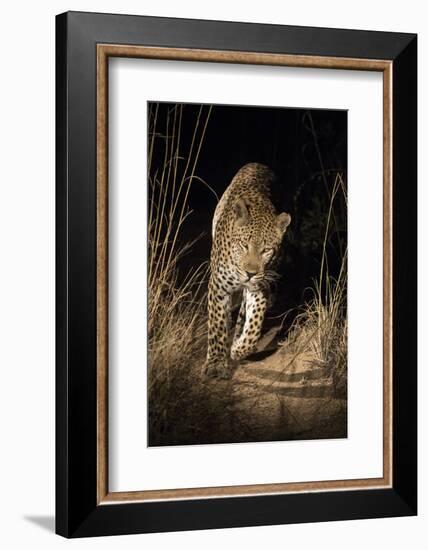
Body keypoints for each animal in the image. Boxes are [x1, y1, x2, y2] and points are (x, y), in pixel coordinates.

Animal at [201, 162, 290, 382]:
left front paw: (239, 349)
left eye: (266, 250)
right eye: (243, 245)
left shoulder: (260, 287)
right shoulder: (218, 286)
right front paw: (216, 364)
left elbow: (254, 326)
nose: (250, 273)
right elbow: (217, 324)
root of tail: (260, 164)